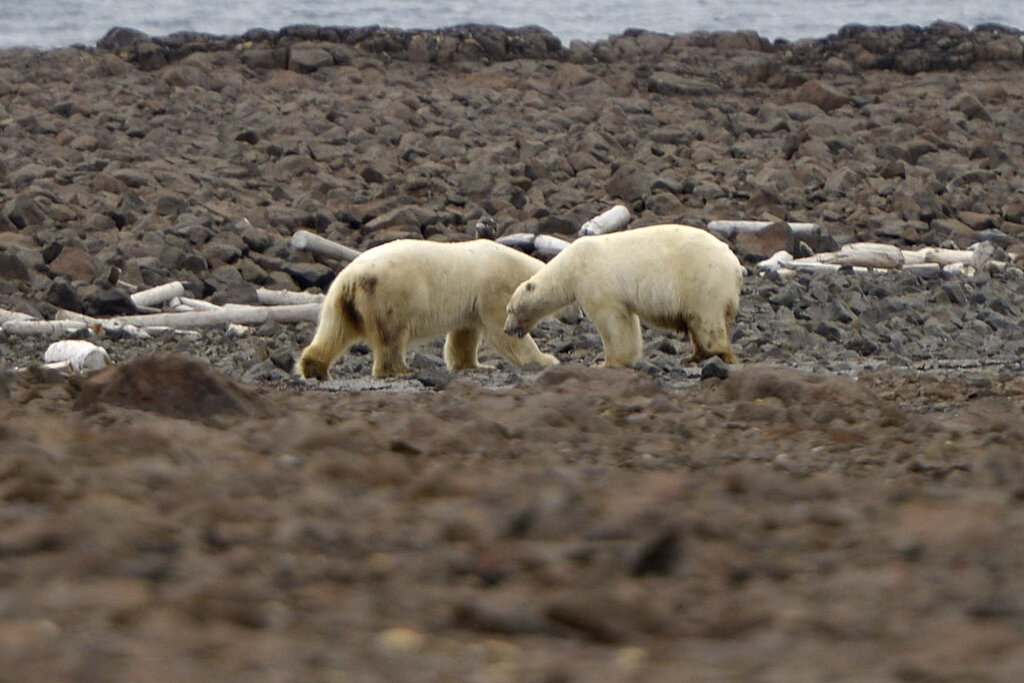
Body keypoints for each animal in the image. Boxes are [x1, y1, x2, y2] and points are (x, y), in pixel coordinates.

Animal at [296, 239, 561, 378]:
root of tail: (351, 278)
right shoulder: (495, 288)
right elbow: (501, 332)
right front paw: (546, 360)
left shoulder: (470, 303)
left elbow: (464, 335)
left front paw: (475, 365)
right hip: (389, 294)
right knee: (391, 335)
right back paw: (402, 369)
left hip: (339, 301)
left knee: (334, 331)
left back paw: (314, 368)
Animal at [505, 224, 741, 366]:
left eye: (510, 309)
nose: (507, 329)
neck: (570, 265)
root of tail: (735, 264)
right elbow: (628, 320)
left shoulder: (594, 279)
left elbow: (611, 320)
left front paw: (606, 362)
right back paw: (694, 356)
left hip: (703, 279)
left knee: (705, 318)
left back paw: (710, 355)